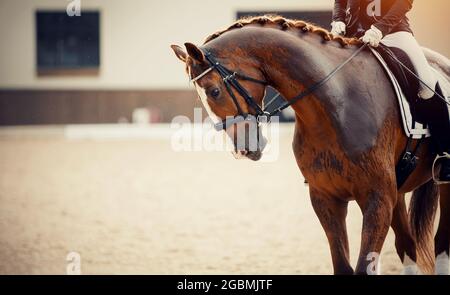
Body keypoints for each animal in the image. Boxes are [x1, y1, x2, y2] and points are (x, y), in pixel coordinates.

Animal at [171, 15, 448, 276]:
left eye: (214, 91)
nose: (242, 149)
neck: (337, 104)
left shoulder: (377, 199)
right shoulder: (325, 198)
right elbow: (343, 266)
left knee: (440, 244)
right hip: (397, 193)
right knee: (407, 245)